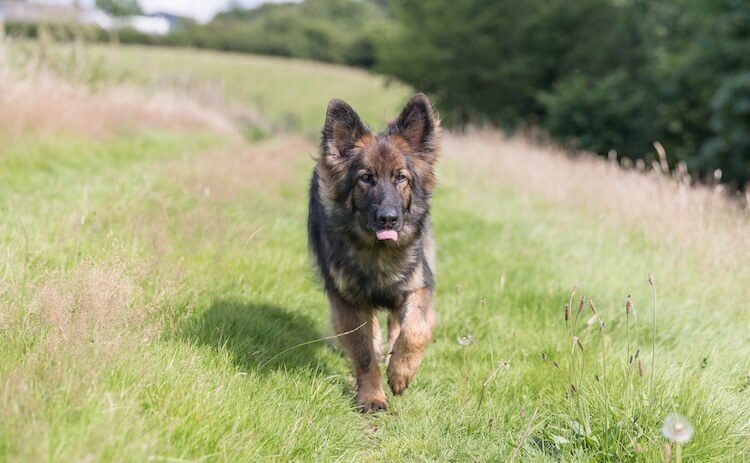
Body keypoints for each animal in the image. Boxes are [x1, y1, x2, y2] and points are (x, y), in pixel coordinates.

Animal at [308, 92, 440, 412]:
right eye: (365, 178)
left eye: (401, 177)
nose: (388, 219)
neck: (378, 252)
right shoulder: (347, 301)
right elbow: (363, 352)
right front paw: (372, 397)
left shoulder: (419, 284)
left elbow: (416, 330)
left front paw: (401, 372)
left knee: (397, 322)